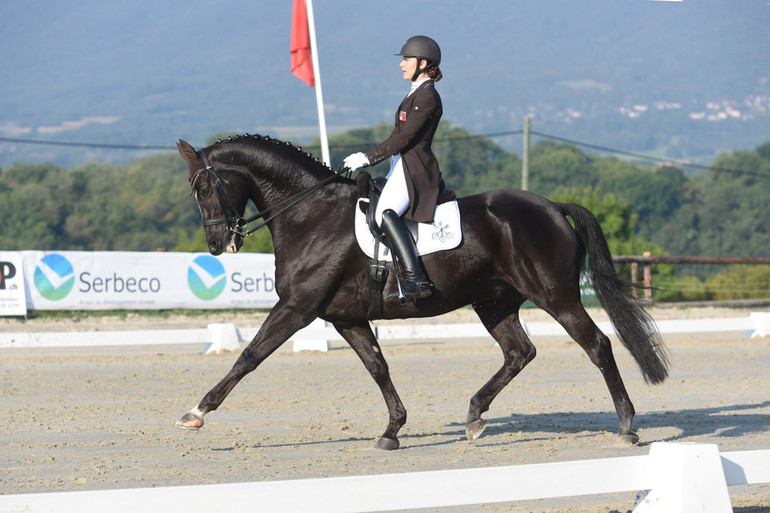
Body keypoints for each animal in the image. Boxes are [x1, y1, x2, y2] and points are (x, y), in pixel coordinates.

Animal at [174, 135, 664, 448]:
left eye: (205, 187)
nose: (218, 246)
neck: (311, 214)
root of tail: (553, 207)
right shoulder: (345, 317)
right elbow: (378, 367)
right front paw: (393, 430)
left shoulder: (297, 307)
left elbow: (249, 356)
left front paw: (195, 413)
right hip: (494, 302)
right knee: (519, 353)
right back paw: (474, 416)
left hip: (556, 297)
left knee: (597, 345)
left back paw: (627, 426)